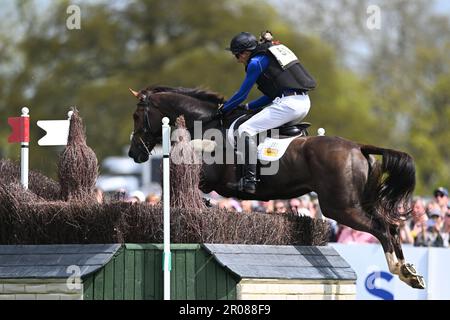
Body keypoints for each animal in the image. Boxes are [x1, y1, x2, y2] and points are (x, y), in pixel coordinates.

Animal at [127, 85, 426, 290]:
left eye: (137, 116)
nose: (133, 153)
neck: (208, 126)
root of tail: (359, 147)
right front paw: (203, 207)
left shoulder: (210, 177)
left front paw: (200, 206)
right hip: (359, 203)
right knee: (393, 226)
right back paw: (410, 272)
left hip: (341, 207)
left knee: (382, 229)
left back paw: (399, 270)